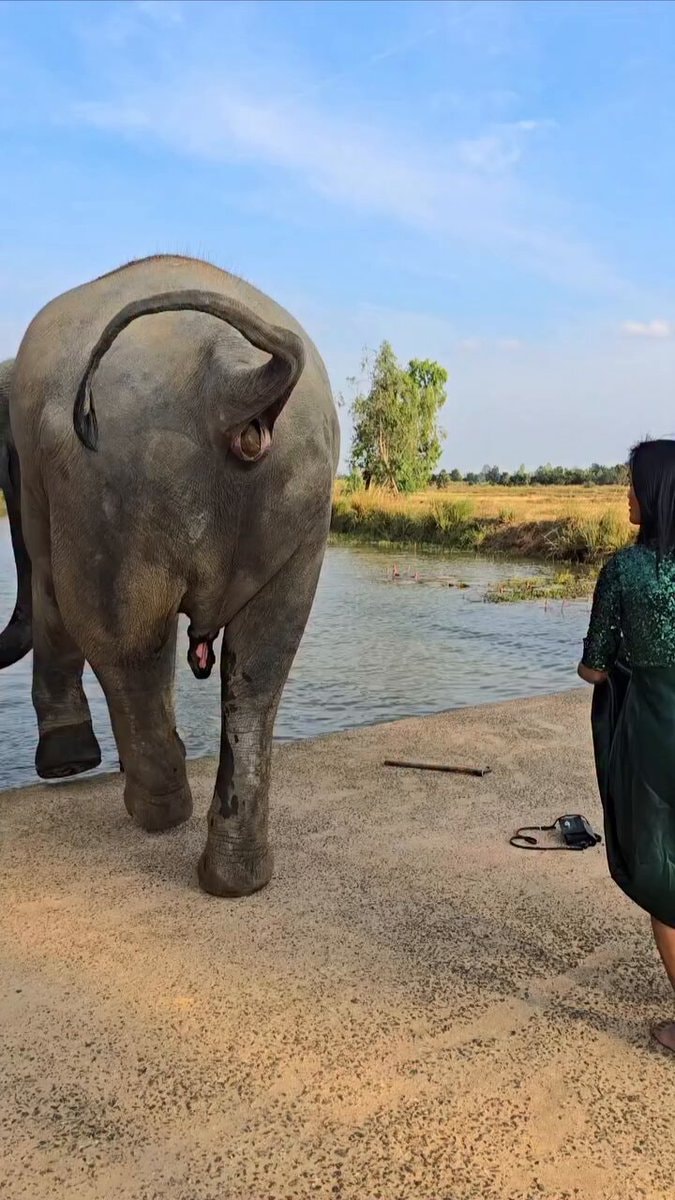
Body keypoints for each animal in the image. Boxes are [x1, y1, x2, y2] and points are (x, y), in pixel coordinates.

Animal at [0, 255, 339, 896]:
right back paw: (234, 879)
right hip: (302, 505)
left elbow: (50, 589)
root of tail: (233, 385)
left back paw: (155, 812)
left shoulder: (39, 476)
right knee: (261, 665)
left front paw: (66, 763)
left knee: (124, 641)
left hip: (113, 484)